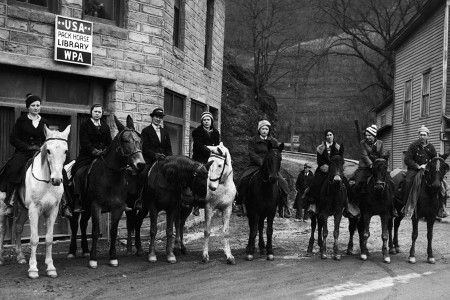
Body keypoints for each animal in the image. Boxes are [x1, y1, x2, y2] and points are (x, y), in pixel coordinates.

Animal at [0, 125, 70, 278]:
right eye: (48, 150)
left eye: (65, 151)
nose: (57, 180)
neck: (47, 181)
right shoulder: (34, 209)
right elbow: (34, 239)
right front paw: (33, 269)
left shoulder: (52, 210)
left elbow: (49, 238)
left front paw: (50, 267)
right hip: (3, 210)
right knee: (2, 230)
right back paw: (1, 258)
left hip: (23, 210)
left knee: (18, 227)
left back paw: (20, 257)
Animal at [67, 116, 144, 268]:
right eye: (125, 140)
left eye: (139, 140)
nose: (141, 164)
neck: (110, 177)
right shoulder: (96, 206)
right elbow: (96, 231)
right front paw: (93, 259)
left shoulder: (118, 208)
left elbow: (113, 232)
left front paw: (113, 257)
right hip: (75, 206)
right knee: (74, 225)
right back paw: (72, 251)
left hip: (87, 209)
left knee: (83, 224)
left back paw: (85, 250)